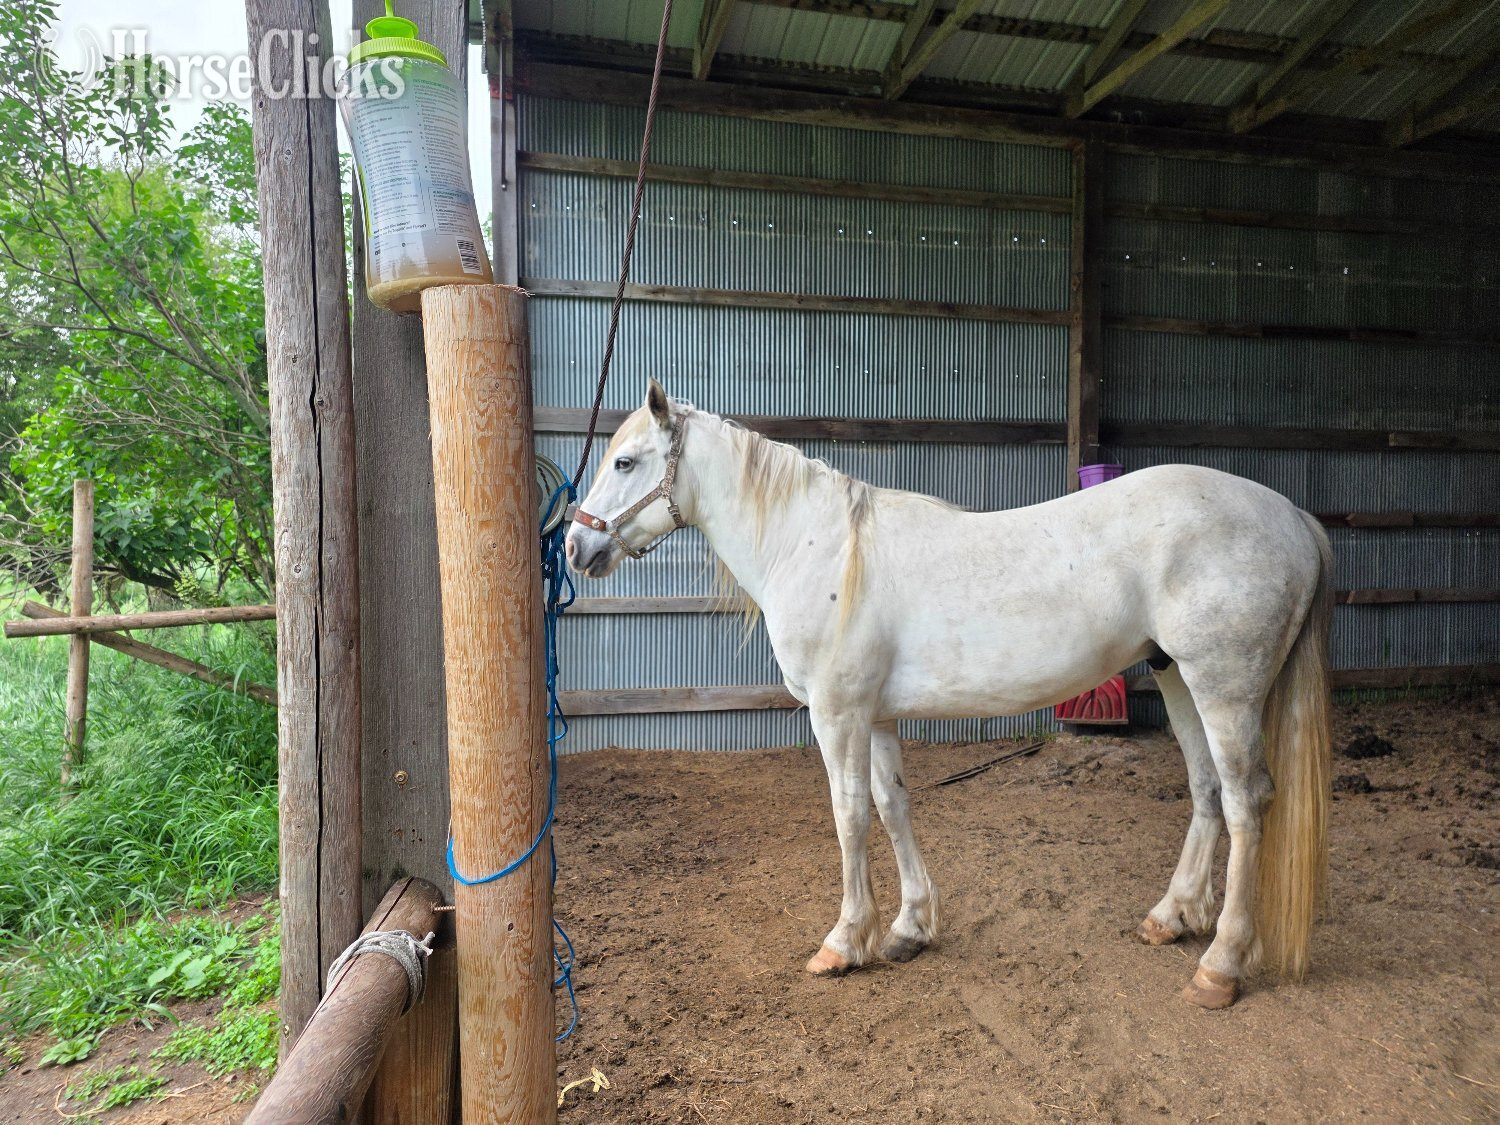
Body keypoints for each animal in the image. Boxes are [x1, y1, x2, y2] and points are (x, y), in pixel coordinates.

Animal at [566, 379, 1332, 1009]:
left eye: (626, 462)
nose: (575, 547)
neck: (818, 547)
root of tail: (1294, 516)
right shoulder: (874, 718)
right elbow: (891, 807)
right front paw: (907, 927)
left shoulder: (837, 716)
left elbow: (849, 817)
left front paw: (844, 941)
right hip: (1176, 677)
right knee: (1207, 791)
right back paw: (1170, 918)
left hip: (1224, 688)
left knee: (1246, 801)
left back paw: (1220, 966)